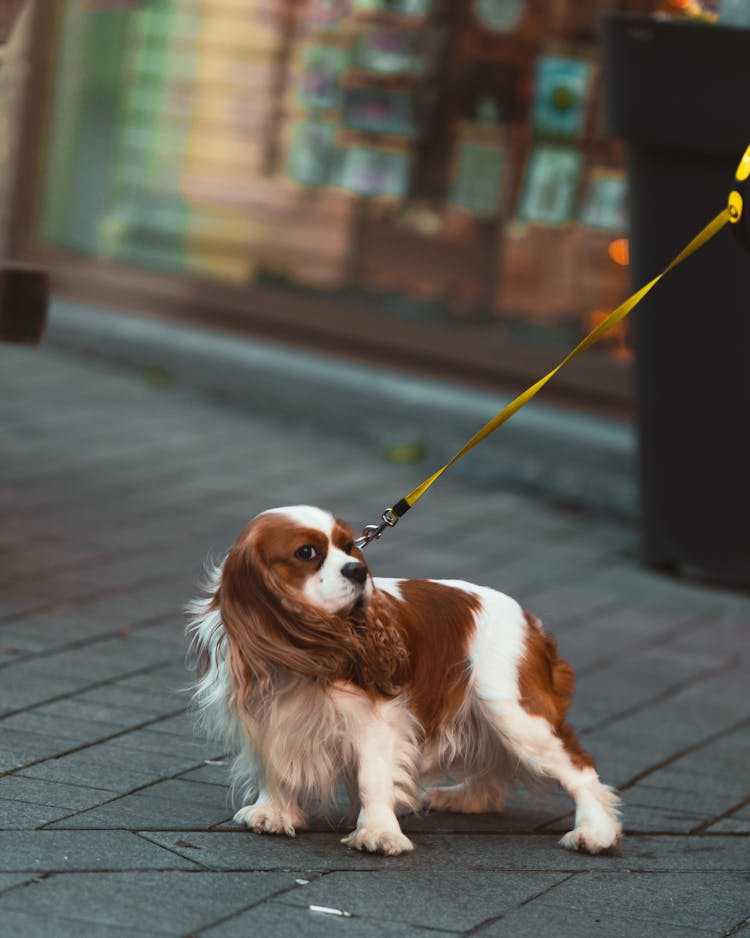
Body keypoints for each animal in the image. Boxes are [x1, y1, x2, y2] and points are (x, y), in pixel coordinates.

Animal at [188, 504, 624, 856]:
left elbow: (371, 778)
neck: (305, 650)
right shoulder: (271, 713)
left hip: (511, 710)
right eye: (306, 553)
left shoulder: (376, 721)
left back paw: (596, 833)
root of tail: (531, 621)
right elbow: (275, 765)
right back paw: (462, 798)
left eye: (349, 548)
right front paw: (273, 812)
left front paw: (379, 833)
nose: (358, 570)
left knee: (581, 769)